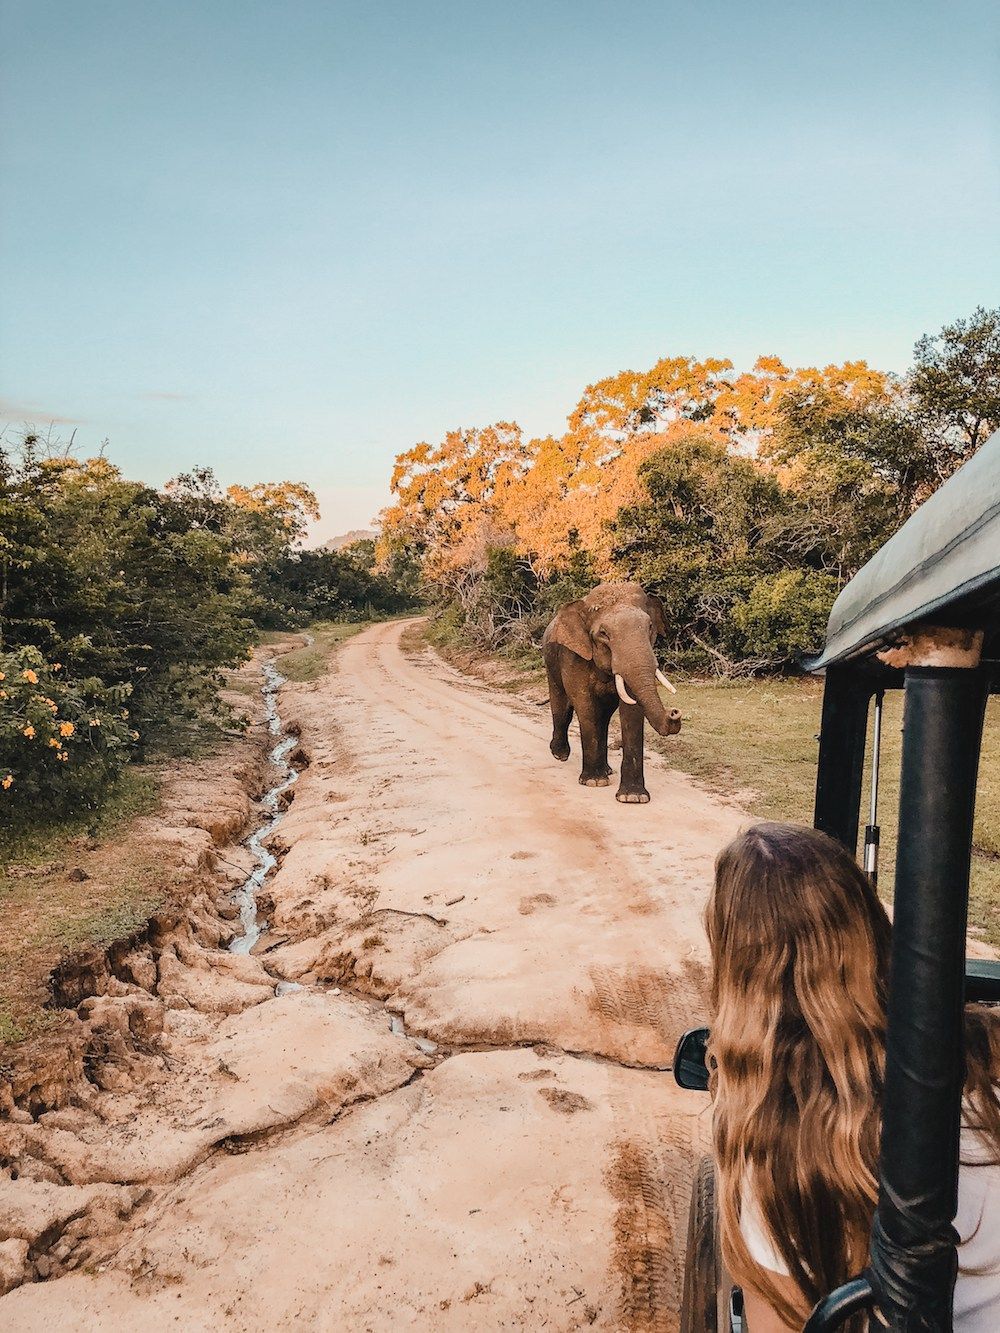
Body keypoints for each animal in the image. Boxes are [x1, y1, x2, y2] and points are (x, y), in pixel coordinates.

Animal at [542, 582, 682, 804]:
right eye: (603, 634)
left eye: (650, 627)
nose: (674, 712)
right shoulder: (573, 656)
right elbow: (585, 705)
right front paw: (594, 782)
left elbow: (632, 711)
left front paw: (633, 797)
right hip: (551, 662)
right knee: (562, 706)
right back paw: (560, 754)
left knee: (604, 717)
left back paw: (606, 770)